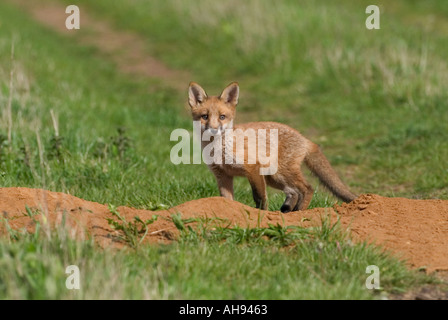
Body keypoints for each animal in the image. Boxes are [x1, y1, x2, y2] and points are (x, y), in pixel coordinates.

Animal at [188, 82, 356, 212]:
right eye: (204, 117)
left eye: (222, 117)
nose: (213, 129)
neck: (218, 150)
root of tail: (305, 139)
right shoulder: (223, 175)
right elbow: (227, 200)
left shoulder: (252, 168)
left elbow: (259, 197)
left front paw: (261, 214)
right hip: (273, 177)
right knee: (293, 192)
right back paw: (287, 211)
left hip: (281, 173)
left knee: (307, 188)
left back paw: (299, 212)